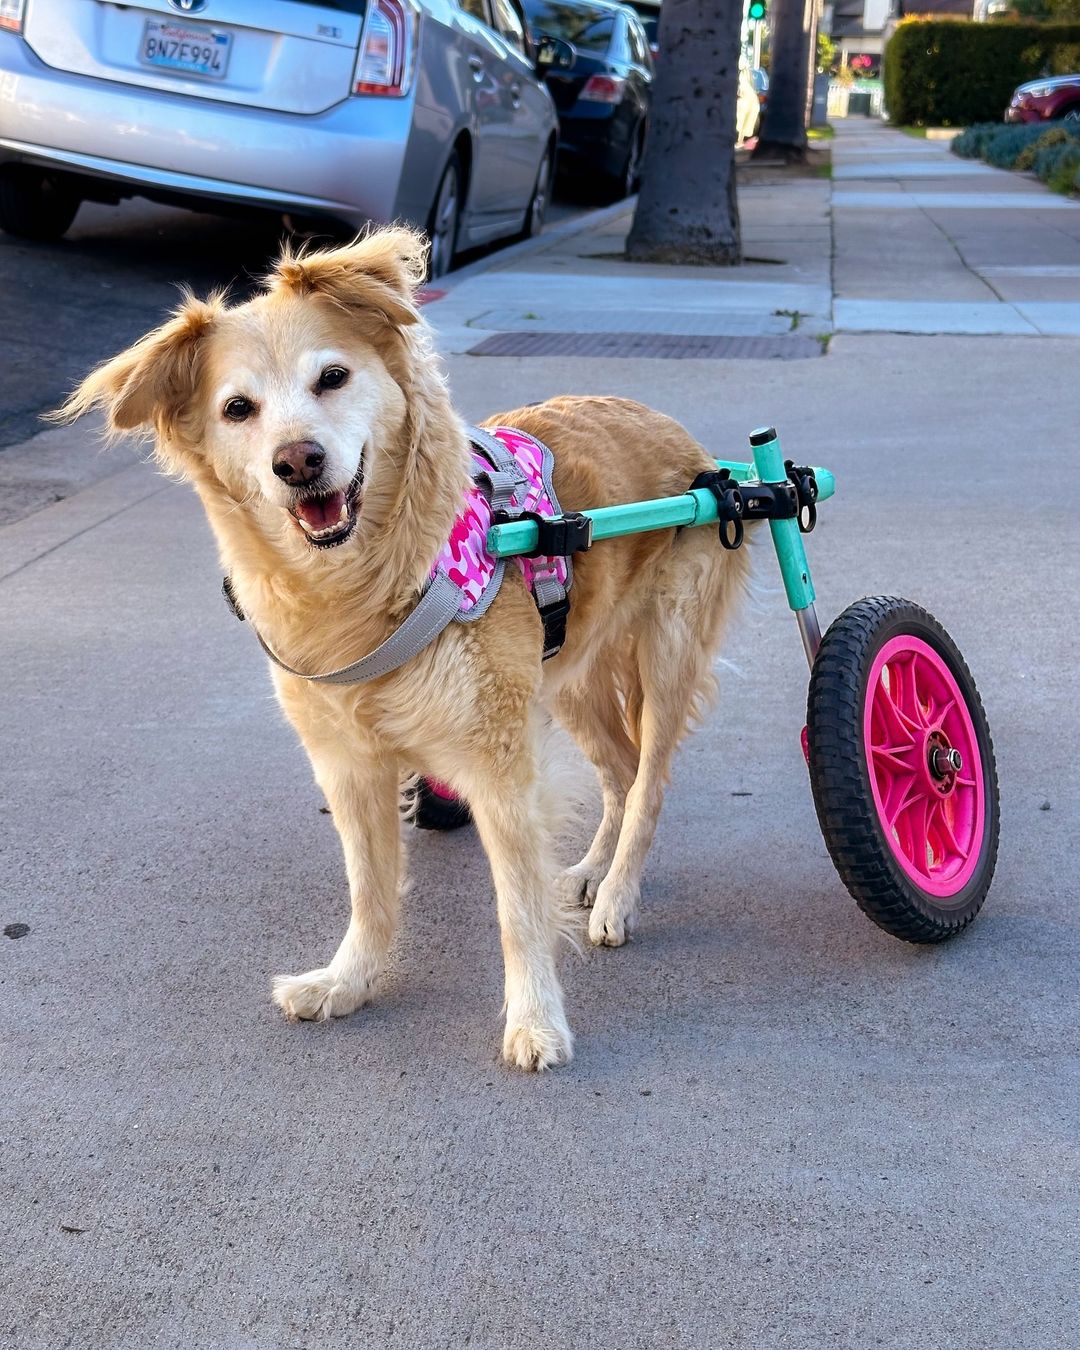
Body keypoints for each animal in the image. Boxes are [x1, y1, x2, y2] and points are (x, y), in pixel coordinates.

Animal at [57, 226, 750, 1069]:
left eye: (332, 377)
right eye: (237, 409)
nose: (298, 462)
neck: (366, 589)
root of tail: (686, 440)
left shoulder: (499, 764)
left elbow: (516, 909)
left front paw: (535, 1021)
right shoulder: (349, 764)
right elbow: (370, 887)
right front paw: (348, 981)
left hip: (665, 652)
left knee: (648, 781)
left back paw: (616, 896)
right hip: (571, 672)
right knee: (619, 769)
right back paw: (589, 871)